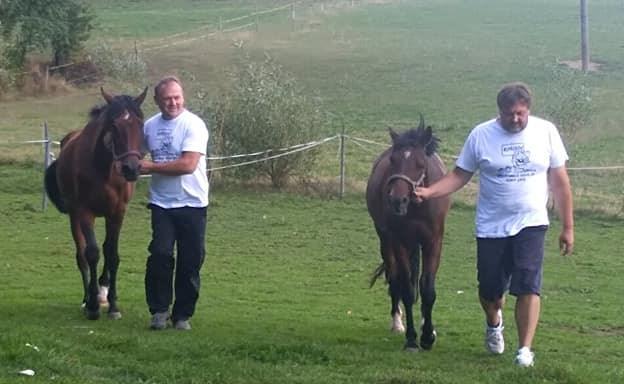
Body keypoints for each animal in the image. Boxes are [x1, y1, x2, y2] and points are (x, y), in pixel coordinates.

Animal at [45, 88, 147, 320]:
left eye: (140, 123)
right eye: (114, 126)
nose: (131, 168)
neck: (103, 169)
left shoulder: (117, 213)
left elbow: (112, 253)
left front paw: (113, 305)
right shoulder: (85, 212)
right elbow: (91, 253)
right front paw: (92, 305)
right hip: (74, 216)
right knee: (81, 255)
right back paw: (87, 298)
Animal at [366, 118, 448, 352]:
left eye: (421, 163)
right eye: (393, 160)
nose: (397, 200)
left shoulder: (433, 241)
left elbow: (427, 288)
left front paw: (428, 335)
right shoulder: (399, 241)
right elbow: (407, 289)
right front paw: (412, 339)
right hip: (386, 242)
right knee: (396, 278)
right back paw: (397, 322)